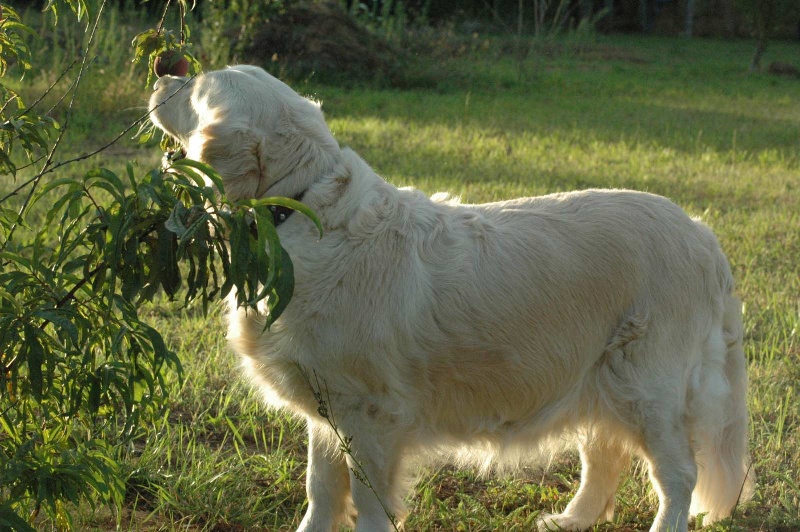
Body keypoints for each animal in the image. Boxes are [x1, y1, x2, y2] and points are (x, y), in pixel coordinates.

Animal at [152, 66, 756, 532]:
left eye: (198, 86)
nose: (162, 73)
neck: (300, 210)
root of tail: (700, 230)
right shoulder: (327, 404)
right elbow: (321, 491)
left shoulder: (372, 413)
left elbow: (368, 501)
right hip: (595, 378)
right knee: (604, 456)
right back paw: (571, 518)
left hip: (645, 387)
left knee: (678, 476)